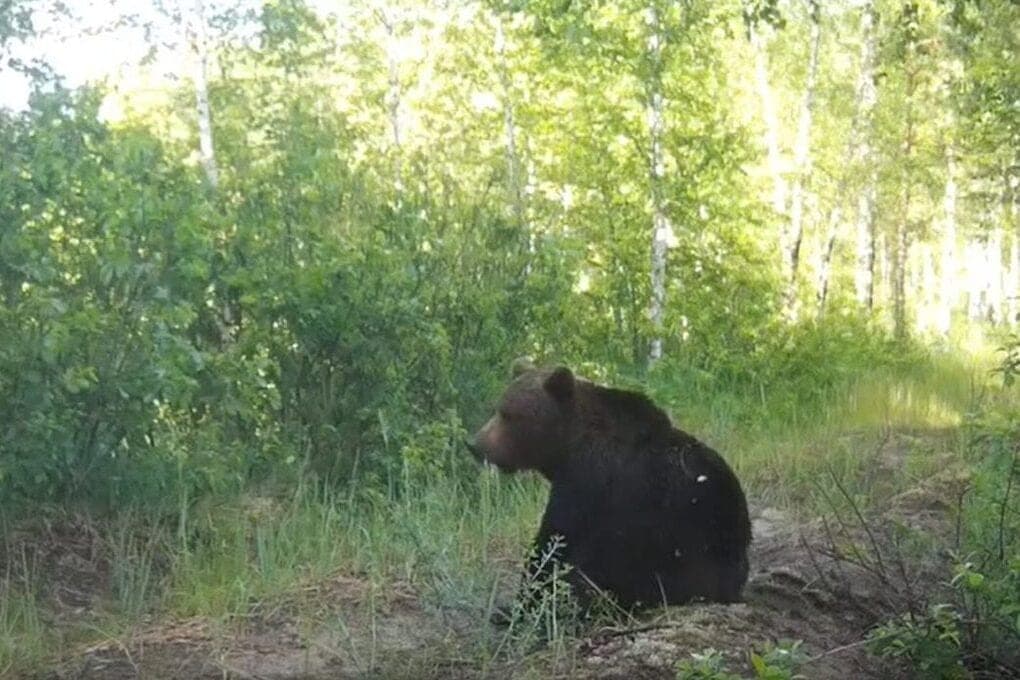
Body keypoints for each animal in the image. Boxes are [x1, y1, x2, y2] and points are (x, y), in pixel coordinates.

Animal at [467, 359, 752, 623]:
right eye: (498, 408)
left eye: (510, 414)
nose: (475, 445)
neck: (566, 447)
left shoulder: (590, 482)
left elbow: (555, 543)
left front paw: (518, 607)